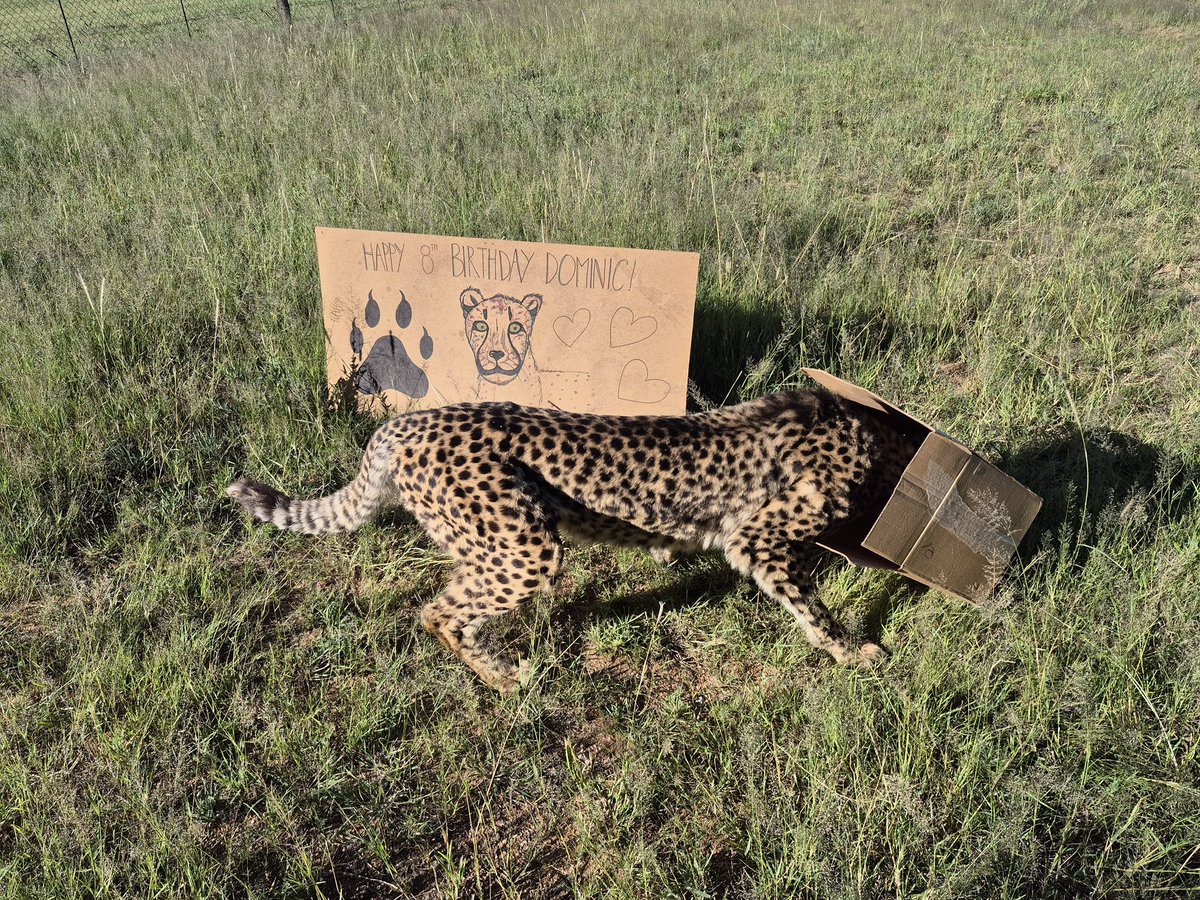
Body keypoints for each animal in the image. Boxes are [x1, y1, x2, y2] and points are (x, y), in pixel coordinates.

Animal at [227, 389, 922, 693]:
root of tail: (407, 421)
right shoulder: (759, 541)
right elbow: (813, 607)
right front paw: (855, 652)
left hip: (485, 545)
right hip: (526, 548)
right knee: (438, 613)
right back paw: (507, 680)